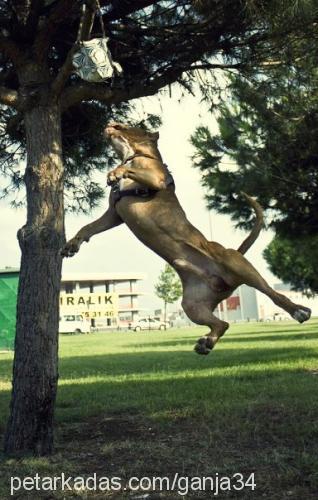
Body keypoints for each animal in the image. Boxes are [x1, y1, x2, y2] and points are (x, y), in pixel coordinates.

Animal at [61, 122, 310, 354]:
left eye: (126, 126)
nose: (110, 124)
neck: (135, 156)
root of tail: (223, 282)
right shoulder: (113, 214)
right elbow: (88, 227)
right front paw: (72, 244)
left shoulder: (155, 178)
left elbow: (127, 170)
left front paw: (116, 171)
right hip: (192, 306)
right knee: (223, 324)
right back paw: (206, 342)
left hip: (238, 265)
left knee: (273, 294)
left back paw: (299, 310)